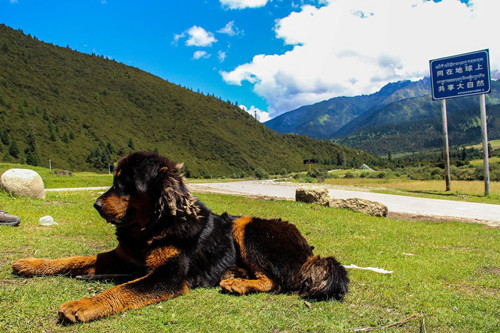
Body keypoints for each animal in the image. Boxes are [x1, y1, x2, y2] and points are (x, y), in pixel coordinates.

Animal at [11, 152, 348, 322]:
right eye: (114, 180)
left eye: (125, 183)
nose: (95, 204)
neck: (153, 225)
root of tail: (309, 252)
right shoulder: (122, 257)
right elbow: (76, 259)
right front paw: (31, 264)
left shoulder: (169, 275)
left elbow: (122, 289)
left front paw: (82, 304)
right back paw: (235, 274)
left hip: (246, 226)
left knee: (278, 281)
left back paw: (238, 283)